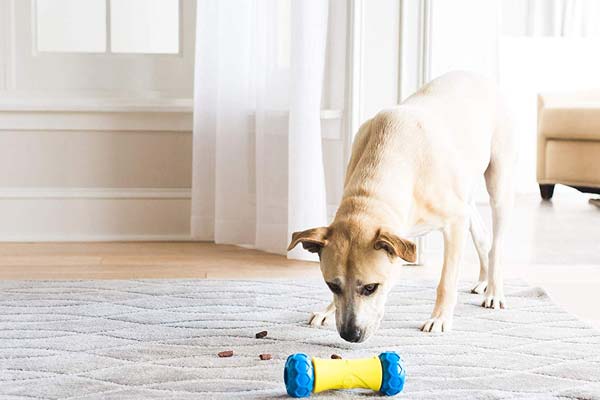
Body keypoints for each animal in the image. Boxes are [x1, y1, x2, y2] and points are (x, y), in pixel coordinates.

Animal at [286, 70, 516, 342]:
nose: (350, 334)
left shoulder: (455, 222)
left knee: (497, 242)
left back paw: (494, 291)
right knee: (482, 235)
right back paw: (483, 280)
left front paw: (439, 318)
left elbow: (447, 280)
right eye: (332, 285)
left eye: (371, 288)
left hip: (499, 183)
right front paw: (328, 311)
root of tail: (475, 75)